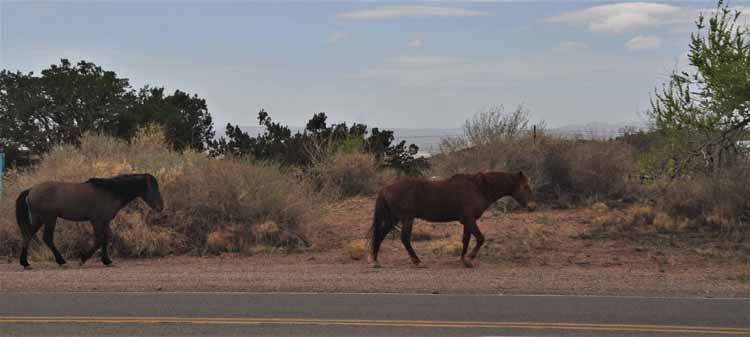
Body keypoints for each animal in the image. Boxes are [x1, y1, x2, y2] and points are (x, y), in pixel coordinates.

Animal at [15, 173, 164, 268]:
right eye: (153, 188)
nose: (160, 207)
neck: (110, 191)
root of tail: (31, 190)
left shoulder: (105, 221)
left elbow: (106, 238)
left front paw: (107, 261)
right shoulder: (96, 221)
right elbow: (99, 239)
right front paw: (83, 259)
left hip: (38, 219)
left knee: (28, 235)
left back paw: (25, 263)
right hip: (50, 219)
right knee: (47, 238)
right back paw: (61, 261)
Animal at [368, 171, 536, 268]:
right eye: (525, 187)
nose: (532, 206)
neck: (478, 188)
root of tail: (386, 188)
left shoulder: (467, 222)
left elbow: (466, 240)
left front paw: (463, 259)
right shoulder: (469, 220)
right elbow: (480, 238)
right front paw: (469, 259)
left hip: (394, 218)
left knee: (380, 235)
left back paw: (376, 260)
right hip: (406, 219)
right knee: (404, 238)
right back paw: (416, 261)